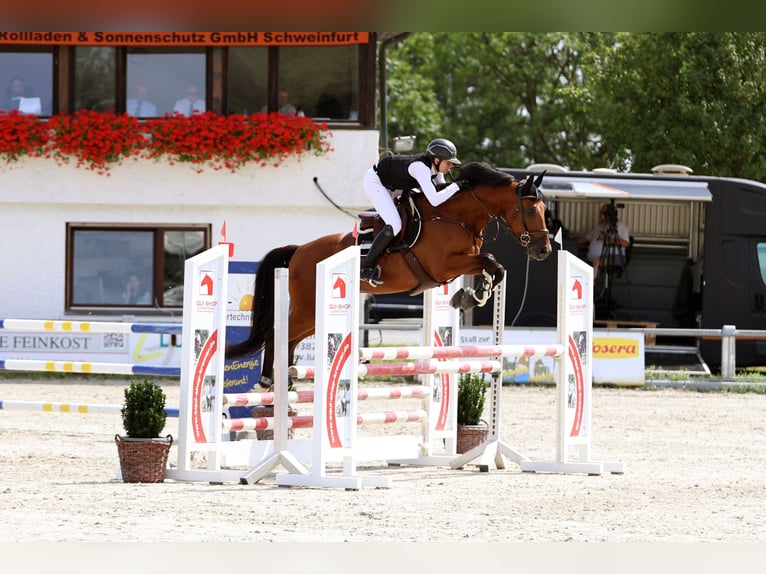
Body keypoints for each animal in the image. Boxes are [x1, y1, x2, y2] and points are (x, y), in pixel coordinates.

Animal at [226, 161, 551, 388]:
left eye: (545, 210)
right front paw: (473, 295)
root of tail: (298, 251)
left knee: (290, 339)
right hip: (309, 308)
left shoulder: (458, 264)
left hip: (313, 314)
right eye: (531, 211)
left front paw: (474, 294)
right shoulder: (444, 265)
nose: (544, 250)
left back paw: (287, 381)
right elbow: (491, 261)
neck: (455, 216)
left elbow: (495, 267)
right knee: (276, 333)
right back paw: (266, 382)